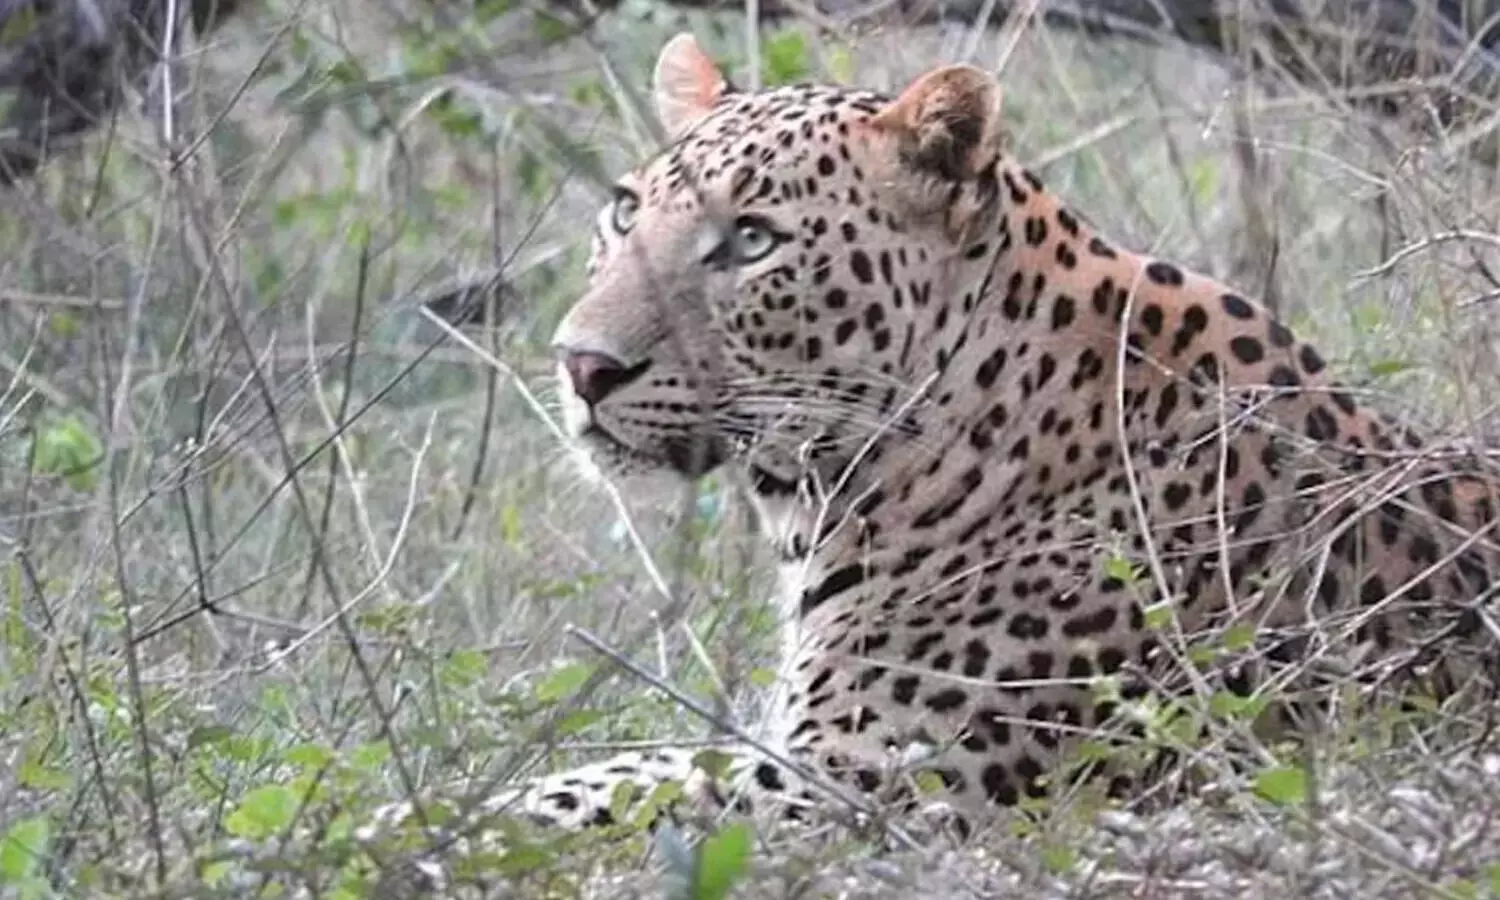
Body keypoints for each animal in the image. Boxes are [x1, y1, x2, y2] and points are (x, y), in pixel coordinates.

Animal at [402, 33, 1500, 846]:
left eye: (752, 240)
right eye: (627, 213)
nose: (581, 364)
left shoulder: (875, 788)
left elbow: (615, 797)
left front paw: (422, 834)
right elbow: (622, 769)